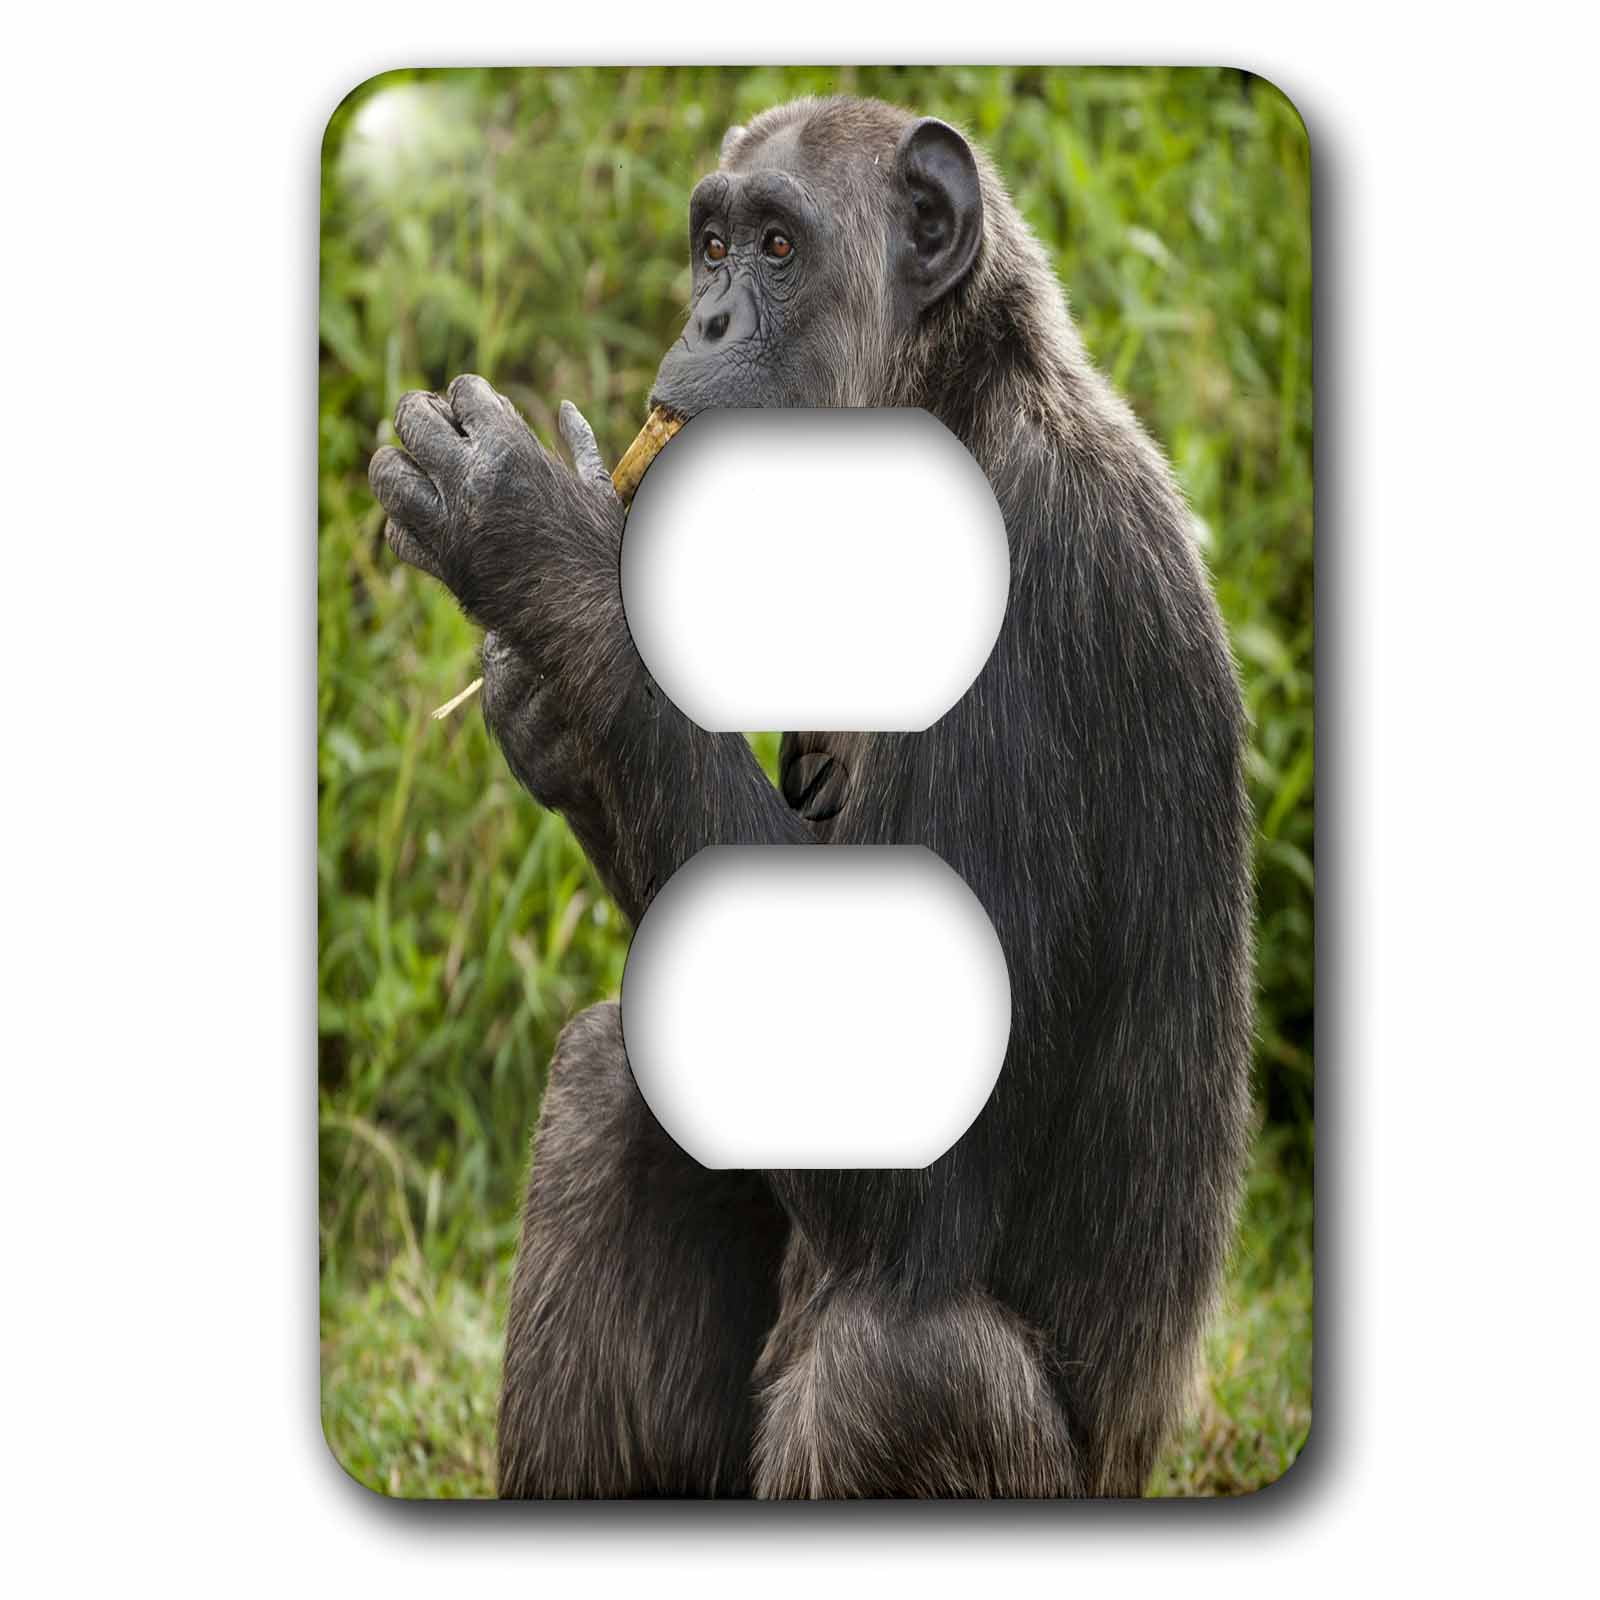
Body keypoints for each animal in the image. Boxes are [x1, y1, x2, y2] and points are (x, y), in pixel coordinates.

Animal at [369, 95, 1255, 1498]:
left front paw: (535, 539)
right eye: (712, 244)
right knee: (613, 1082)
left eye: (779, 247)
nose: (708, 319)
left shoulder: (1037, 608)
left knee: (897, 1365)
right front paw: (547, 696)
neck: (947, 405)